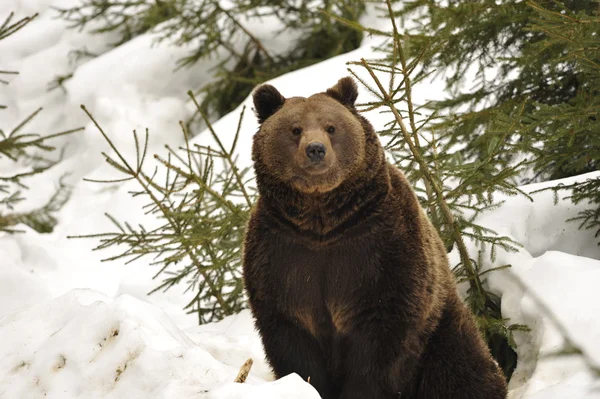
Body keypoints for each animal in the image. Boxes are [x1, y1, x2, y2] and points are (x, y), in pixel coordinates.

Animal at [241, 76, 508, 399]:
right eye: (295, 129)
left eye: (331, 127)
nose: (316, 149)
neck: (322, 222)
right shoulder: (280, 255)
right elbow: (290, 334)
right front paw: (306, 384)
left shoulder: (383, 246)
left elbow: (384, 334)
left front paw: (360, 390)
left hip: (443, 331)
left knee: (462, 369)